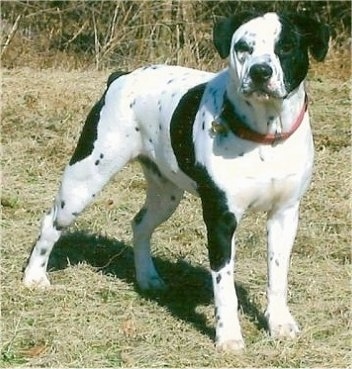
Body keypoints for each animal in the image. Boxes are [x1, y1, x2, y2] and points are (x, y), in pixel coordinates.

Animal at [23, 12, 328, 350]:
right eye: (243, 47)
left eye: (286, 46)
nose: (261, 71)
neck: (265, 135)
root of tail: (120, 77)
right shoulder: (221, 220)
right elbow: (224, 286)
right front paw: (228, 338)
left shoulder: (284, 215)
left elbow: (277, 275)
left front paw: (280, 323)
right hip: (84, 181)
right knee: (51, 222)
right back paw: (34, 277)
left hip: (165, 195)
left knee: (140, 224)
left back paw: (148, 278)